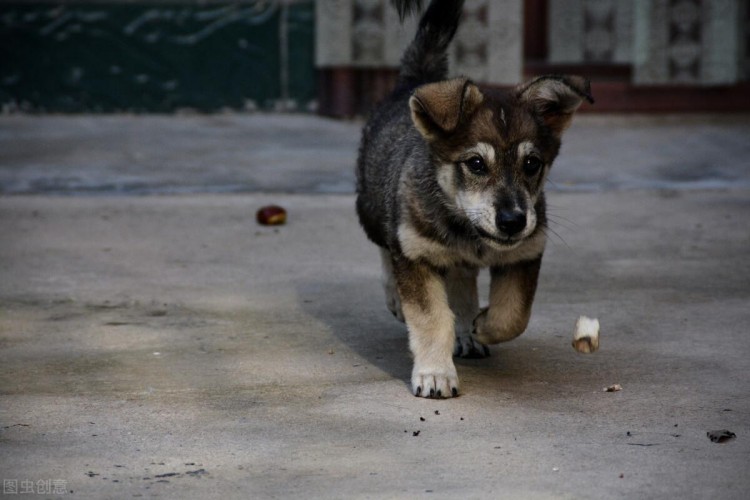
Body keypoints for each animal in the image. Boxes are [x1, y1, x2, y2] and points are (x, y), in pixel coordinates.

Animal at [356, 0, 596, 398]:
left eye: (532, 164)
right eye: (476, 164)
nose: (513, 221)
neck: (468, 230)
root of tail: (412, 84)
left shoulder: (525, 254)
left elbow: (513, 314)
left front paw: (480, 325)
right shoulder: (415, 254)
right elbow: (431, 318)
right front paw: (435, 374)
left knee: (462, 279)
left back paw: (467, 330)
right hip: (373, 211)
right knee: (385, 249)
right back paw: (396, 298)